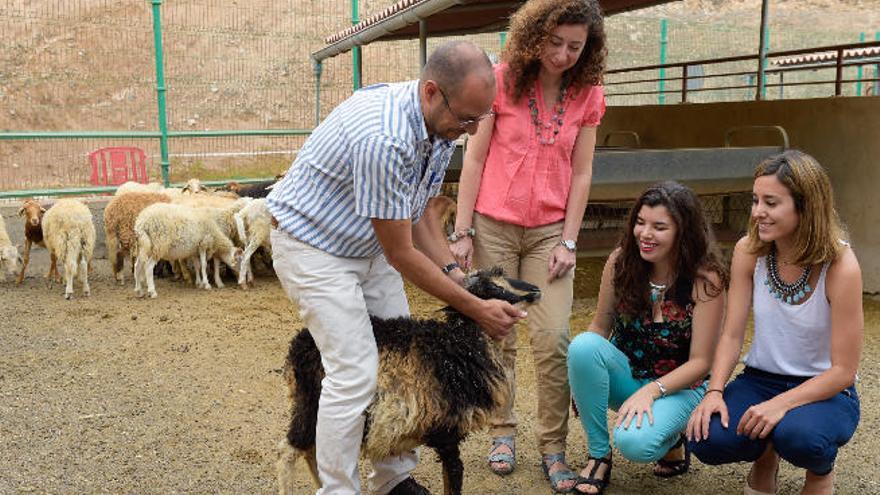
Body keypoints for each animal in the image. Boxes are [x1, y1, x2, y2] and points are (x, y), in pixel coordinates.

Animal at [276, 268, 540, 495]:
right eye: (495, 290)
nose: (536, 290)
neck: (461, 344)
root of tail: (299, 343)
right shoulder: (447, 431)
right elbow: (454, 474)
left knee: (310, 450)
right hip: (311, 401)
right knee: (287, 452)